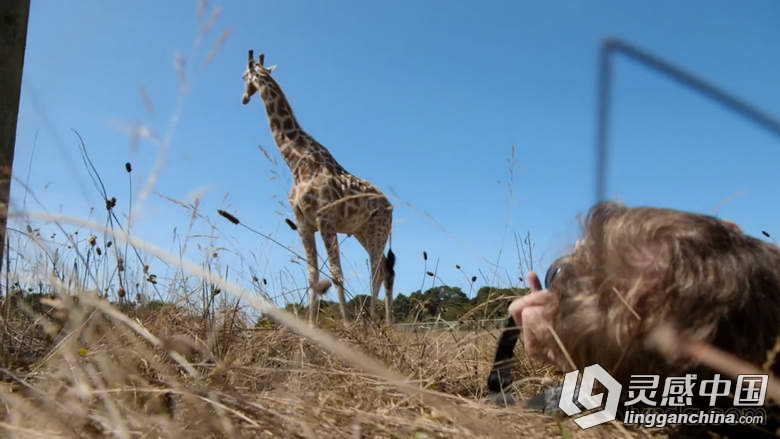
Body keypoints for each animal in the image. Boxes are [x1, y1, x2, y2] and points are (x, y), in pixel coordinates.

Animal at [242, 52, 396, 326]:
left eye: (242, 77)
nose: (244, 98)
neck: (296, 161)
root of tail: (391, 206)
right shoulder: (303, 223)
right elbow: (312, 274)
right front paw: (312, 325)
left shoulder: (326, 220)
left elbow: (336, 273)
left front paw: (347, 325)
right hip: (363, 233)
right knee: (383, 271)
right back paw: (379, 322)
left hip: (378, 232)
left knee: (378, 272)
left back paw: (376, 323)